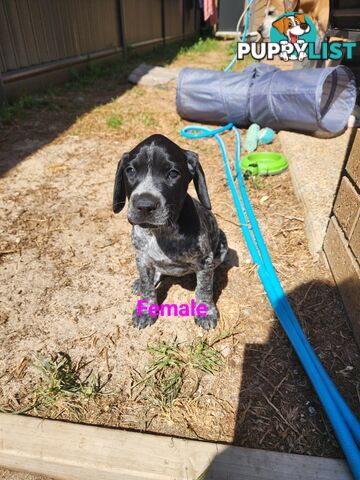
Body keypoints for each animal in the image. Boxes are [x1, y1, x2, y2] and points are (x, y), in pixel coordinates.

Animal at [113, 135, 228, 330]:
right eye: (130, 170)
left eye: (173, 174)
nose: (144, 206)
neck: (161, 232)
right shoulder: (142, 258)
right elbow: (147, 286)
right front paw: (146, 309)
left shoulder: (205, 260)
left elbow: (203, 289)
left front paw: (205, 311)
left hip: (222, 246)